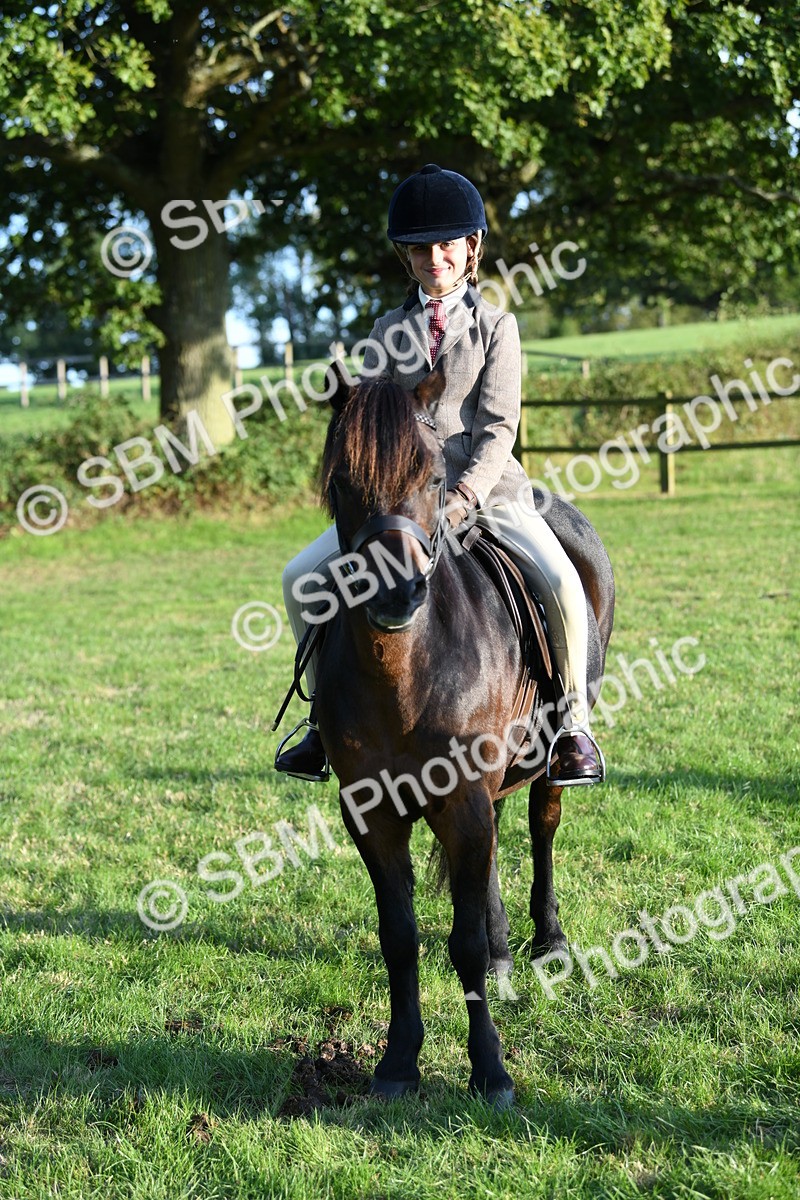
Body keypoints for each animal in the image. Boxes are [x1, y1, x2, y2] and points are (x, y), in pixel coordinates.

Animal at [311, 364, 615, 1106]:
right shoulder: (372, 812)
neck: (404, 670)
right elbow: (401, 936)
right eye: (341, 481)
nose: (395, 594)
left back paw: (547, 940)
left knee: (540, 825)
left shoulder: (465, 798)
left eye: (431, 477)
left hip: (539, 766)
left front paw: (490, 1071)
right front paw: (397, 1064)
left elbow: (464, 943)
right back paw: (508, 949)